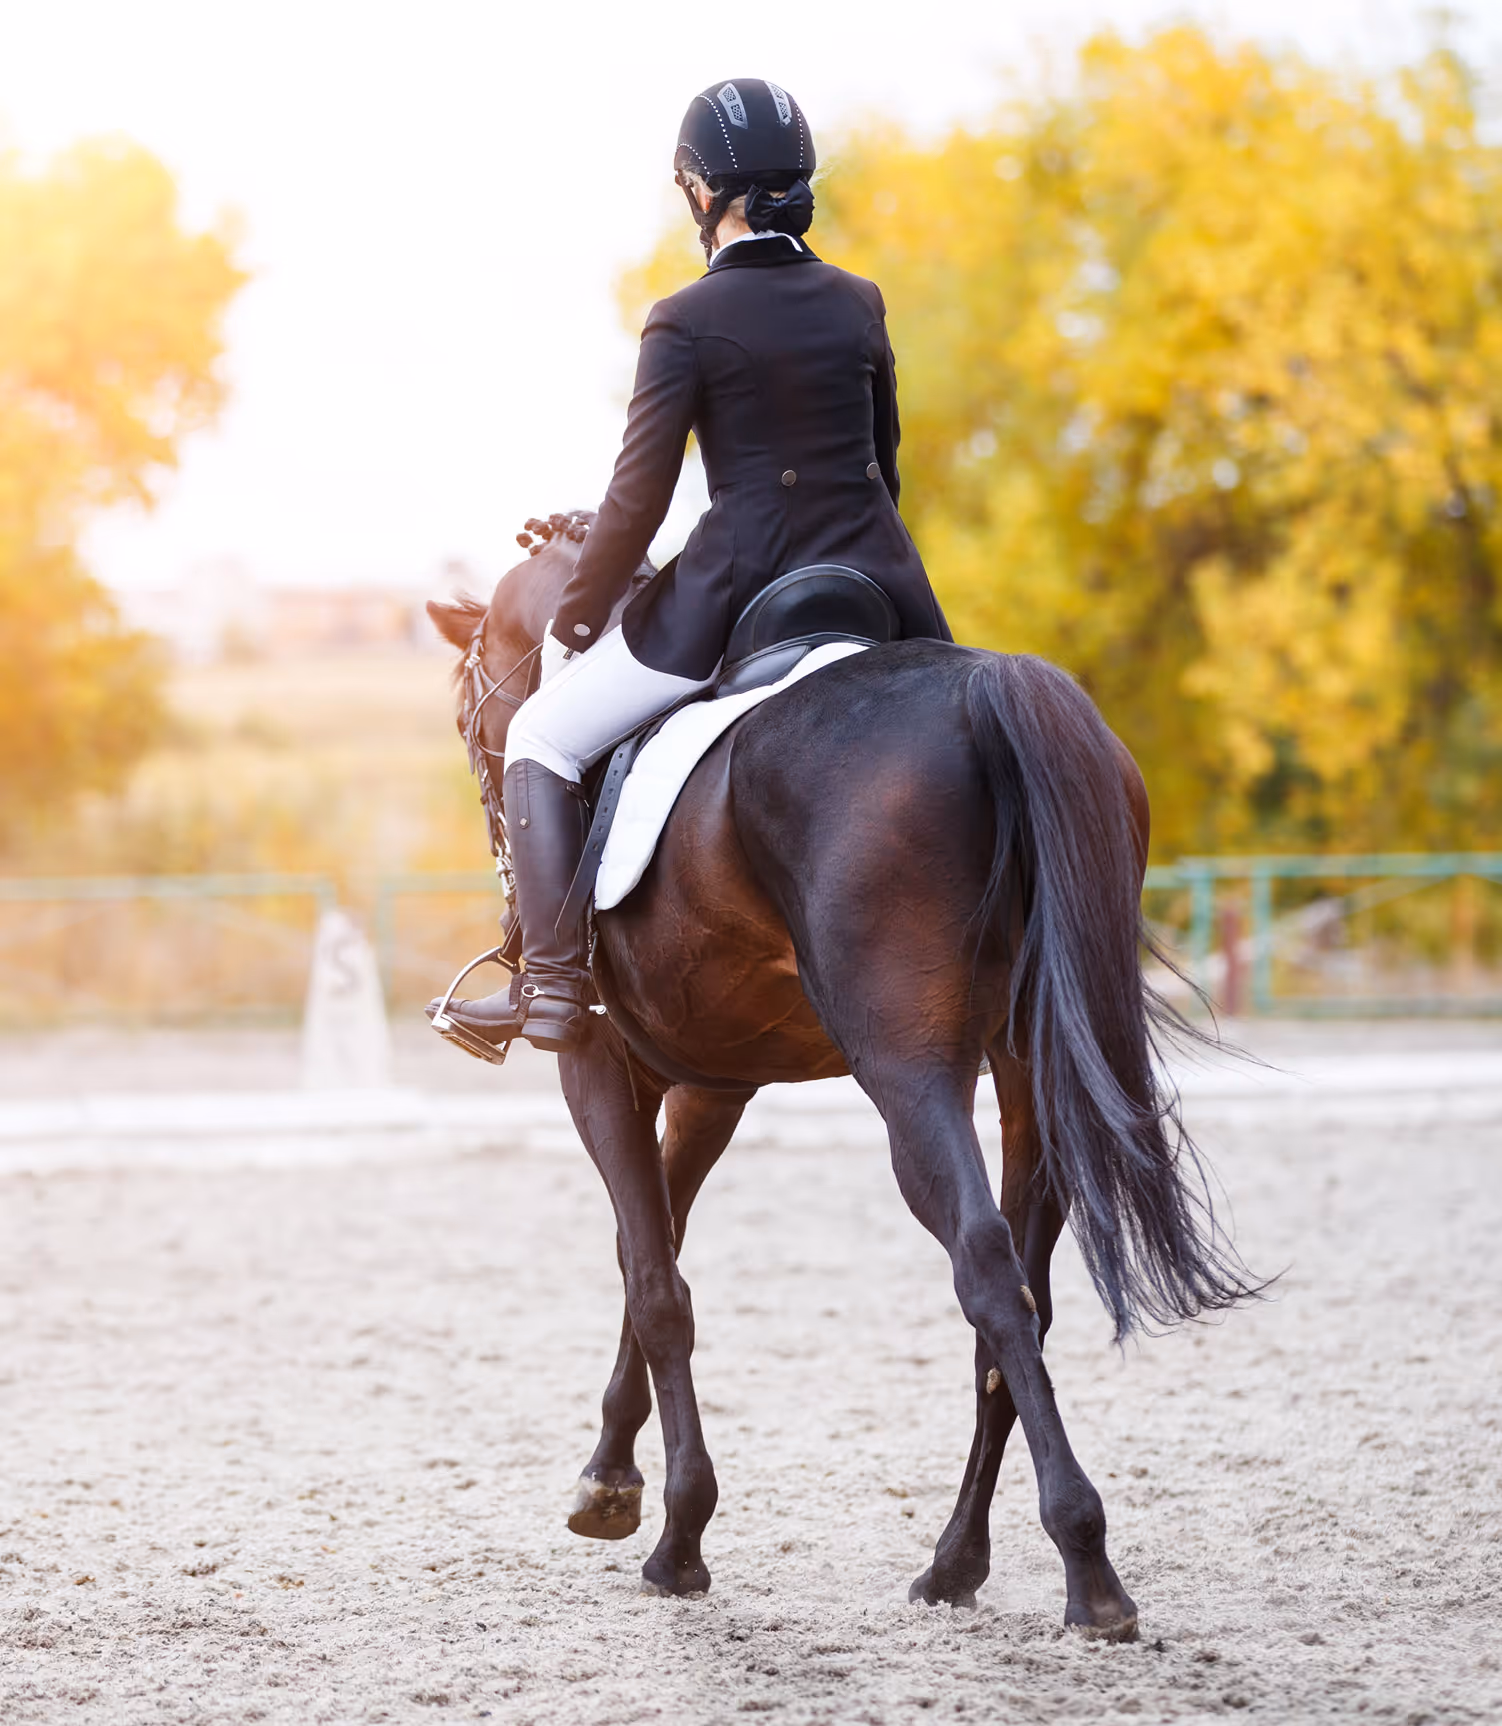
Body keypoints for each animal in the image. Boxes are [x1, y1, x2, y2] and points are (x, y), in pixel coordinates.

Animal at [427, 515, 1256, 1638]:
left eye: (468, 708)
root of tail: (985, 688)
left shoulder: (598, 1067)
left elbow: (653, 1279)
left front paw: (675, 1538)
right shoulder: (711, 1083)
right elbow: (656, 1249)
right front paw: (610, 1481)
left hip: (908, 1072)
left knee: (984, 1269)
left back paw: (1087, 1572)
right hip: (1030, 1080)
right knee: (1022, 1301)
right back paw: (954, 1564)